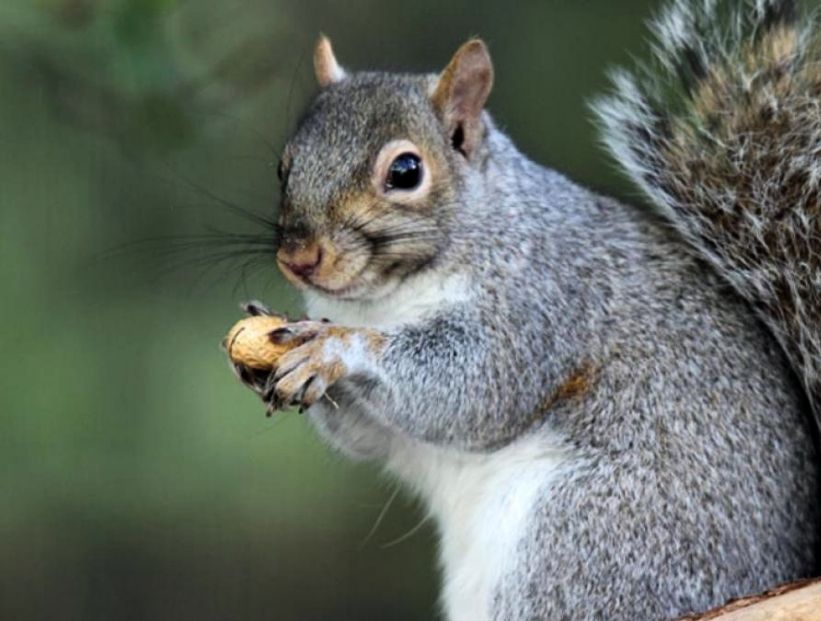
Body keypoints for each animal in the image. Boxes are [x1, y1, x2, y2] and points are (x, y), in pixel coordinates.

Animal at [229, 2, 820, 616]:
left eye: (406, 172)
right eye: (284, 166)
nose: (298, 258)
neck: (380, 300)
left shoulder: (538, 302)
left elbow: (476, 388)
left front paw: (338, 349)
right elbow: (370, 437)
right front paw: (265, 361)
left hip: (586, 537)